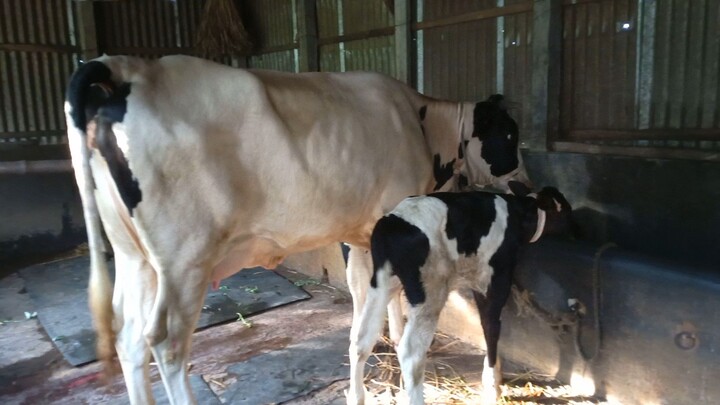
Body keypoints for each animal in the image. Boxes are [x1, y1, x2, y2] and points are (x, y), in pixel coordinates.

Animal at [64, 54, 531, 404]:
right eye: (508, 135)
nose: (524, 184)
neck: (421, 123)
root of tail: (127, 68)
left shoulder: (363, 239)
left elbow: (371, 315)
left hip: (134, 257)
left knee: (128, 340)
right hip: (184, 261)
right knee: (167, 345)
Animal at [347, 183, 572, 405]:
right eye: (564, 209)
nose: (575, 227)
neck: (517, 214)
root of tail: (390, 224)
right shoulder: (496, 277)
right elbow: (491, 326)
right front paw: (493, 384)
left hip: (382, 282)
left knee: (361, 340)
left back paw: (357, 397)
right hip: (430, 292)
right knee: (411, 353)